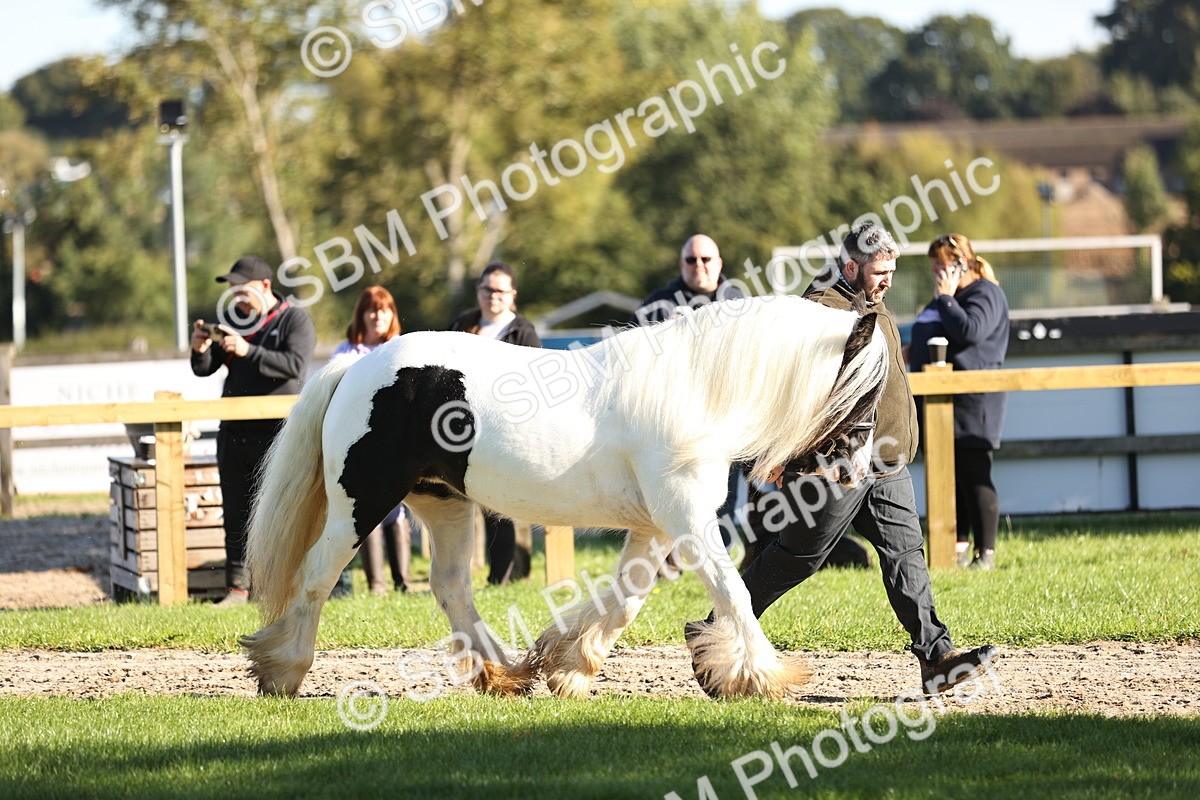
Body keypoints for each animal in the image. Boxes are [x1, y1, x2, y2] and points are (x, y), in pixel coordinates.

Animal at [240, 294, 889, 700]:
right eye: (863, 390)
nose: (859, 472)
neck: (696, 391)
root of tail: (355, 367)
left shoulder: (656, 526)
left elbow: (625, 600)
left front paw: (567, 666)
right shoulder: (685, 517)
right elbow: (733, 591)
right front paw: (764, 676)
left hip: (444, 505)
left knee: (451, 587)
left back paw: (503, 672)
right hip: (363, 505)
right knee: (317, 576)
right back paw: (282, 671)